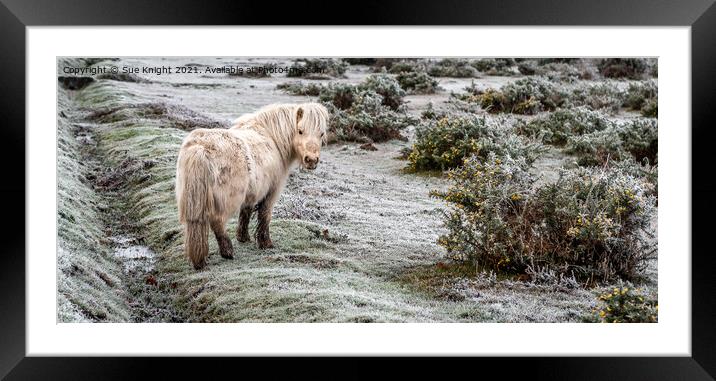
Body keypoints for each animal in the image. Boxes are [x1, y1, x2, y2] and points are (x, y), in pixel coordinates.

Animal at [175, 102, 328, 268]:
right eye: (300, 131)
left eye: (321, 134)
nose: (311, 160)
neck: (272, 137)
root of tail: (200, 149)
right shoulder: (272, 190)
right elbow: (264, 215)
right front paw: (265, 243)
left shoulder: (252, 192)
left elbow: (246, 211)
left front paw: (243, 237)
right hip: (226, 200)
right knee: (217, 221)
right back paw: (227, 251)